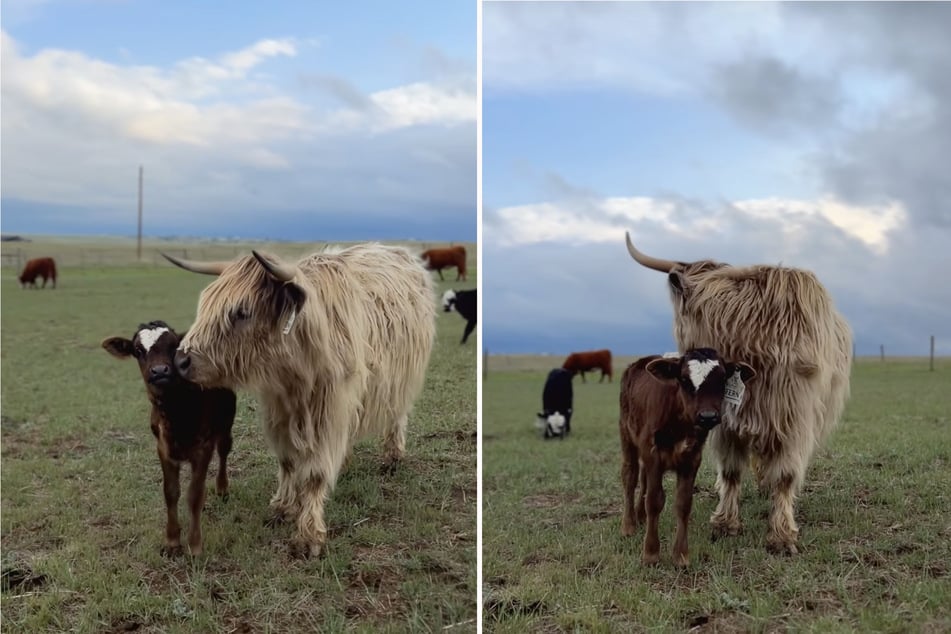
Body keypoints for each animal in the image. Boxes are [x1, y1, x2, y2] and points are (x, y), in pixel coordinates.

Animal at [102, 321, 237, 556]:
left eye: (174, 346)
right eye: (138, 350)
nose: (159, 371)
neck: (178, 412)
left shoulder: (204, 447)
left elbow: (194, 495)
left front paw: (194, 545)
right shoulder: (163, 448)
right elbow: (171, 492)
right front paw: (172, 541)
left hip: (227, 417)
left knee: (224, 449)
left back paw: (222, 488)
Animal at [162, 243, 435, 558]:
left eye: (241, 312)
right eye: (206, 302)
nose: (181, 361)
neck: (293, 373)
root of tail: (398, 250)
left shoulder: (330, 408)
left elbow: (315, 472)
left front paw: (309, 535)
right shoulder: (278, 408)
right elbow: (288, 461)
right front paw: (282, 507)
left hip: (402, 378)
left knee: (397, 413)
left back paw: (392, 457)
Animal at [619, 349, 756, 566]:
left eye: (722, 379)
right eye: (684, 379)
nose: (707, 416)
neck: (679, 421)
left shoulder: (691, 459)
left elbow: (683, 503)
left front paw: (681, 555)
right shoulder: (653, 455)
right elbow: (655, 501)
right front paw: (651, 553)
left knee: (643, 480)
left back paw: (640, 516)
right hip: (627, 436)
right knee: (630, 477)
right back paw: (629, 525)